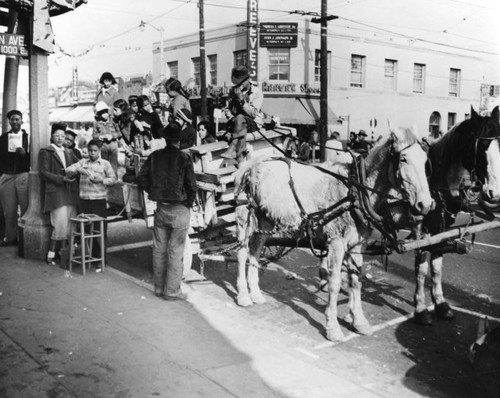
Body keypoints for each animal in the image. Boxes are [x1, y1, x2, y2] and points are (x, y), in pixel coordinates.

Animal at [234, 122, 434, 342]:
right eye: (404, 159)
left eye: (425, 160)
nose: (425, 204)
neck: (355, 191)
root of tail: (249, 164)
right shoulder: (336, 242)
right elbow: (335, 282)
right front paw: (332, 326)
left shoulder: (357, 244)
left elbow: (356, 280)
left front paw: (359, 321)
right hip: (245, 218)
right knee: (242, 253)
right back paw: (243, 294)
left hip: (265, 221)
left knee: (255, 251)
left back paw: (255, 293)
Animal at [412, 105, 500, 324]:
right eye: (482, 149)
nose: (494, 193)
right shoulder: (421, 231)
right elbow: (422, 268)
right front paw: (420, 308)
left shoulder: (441, 229)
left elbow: (437, 265)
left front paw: (440, 304)